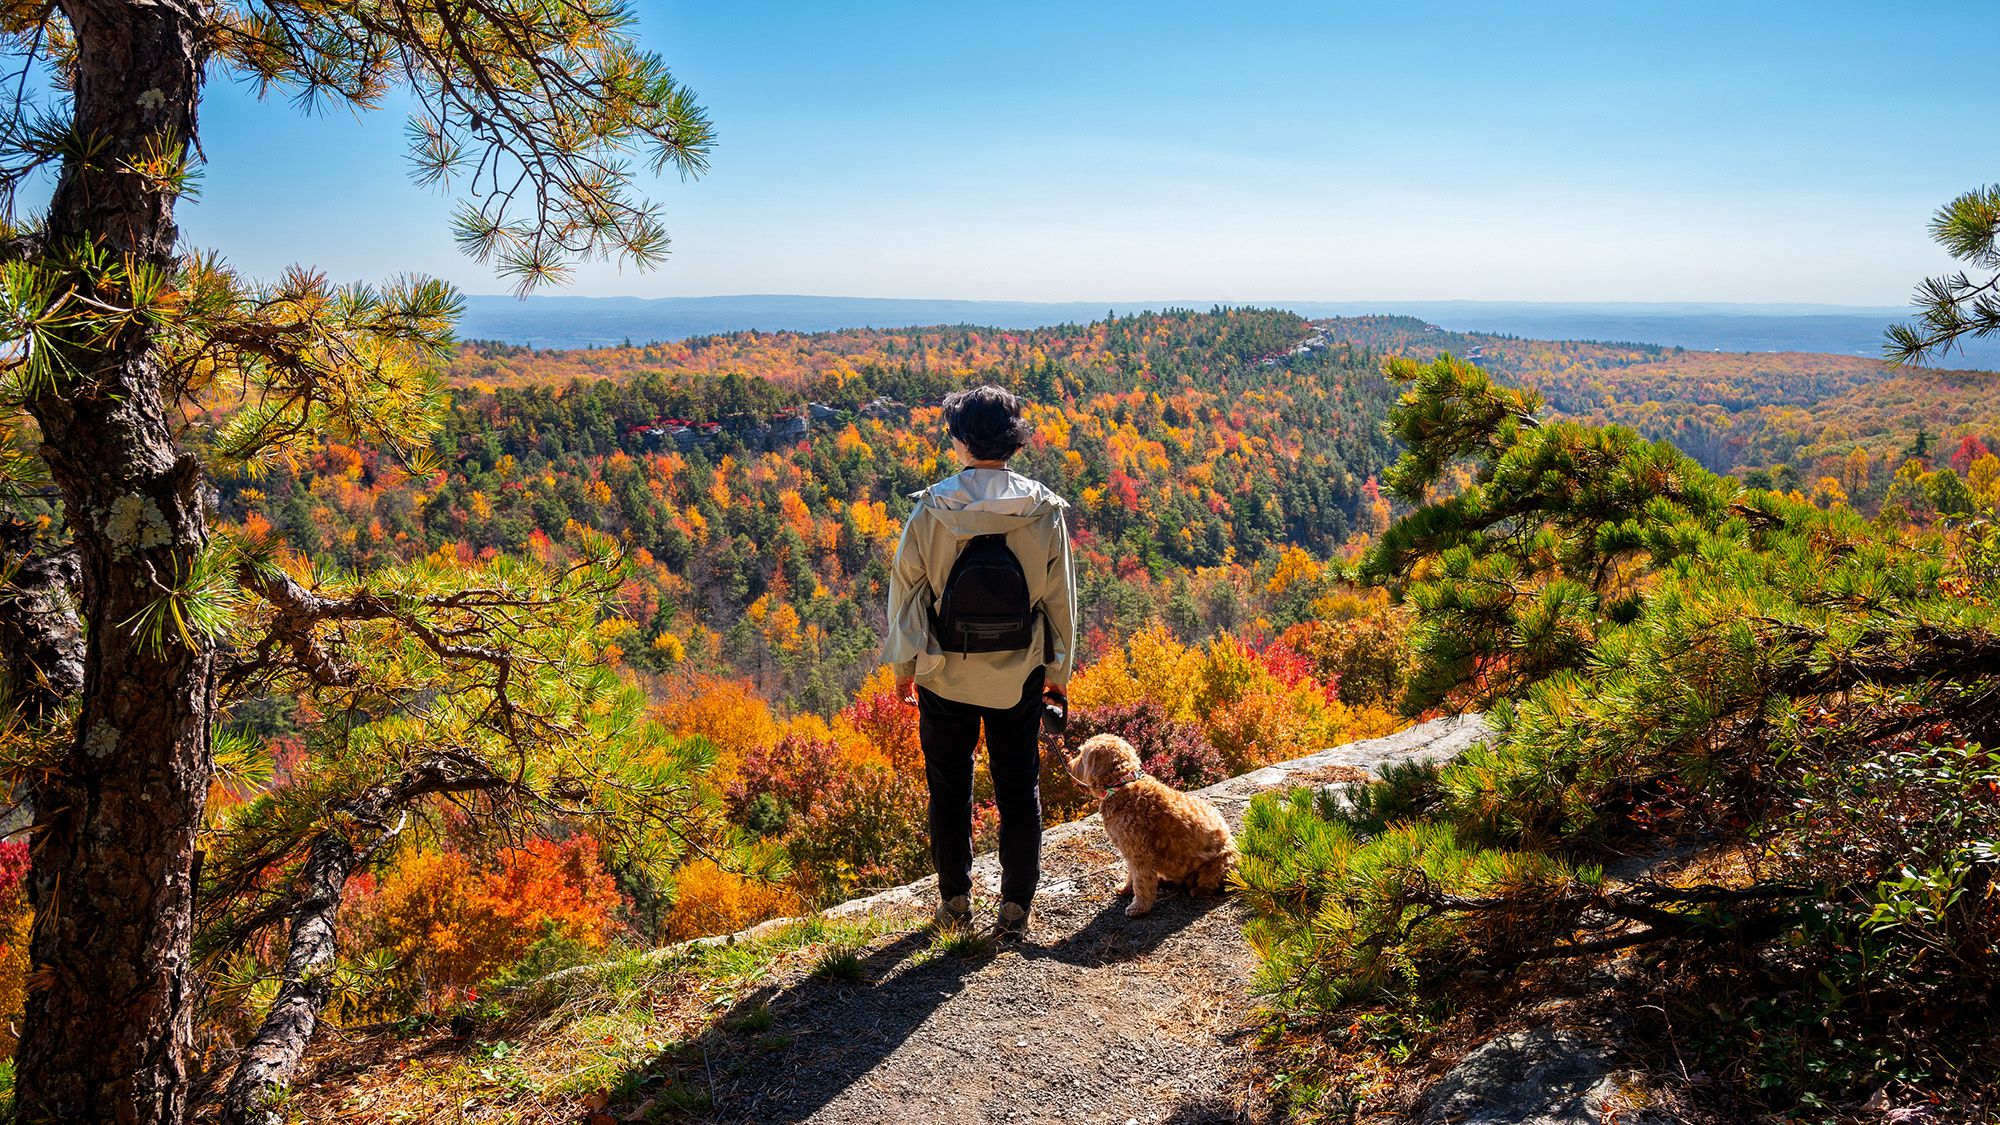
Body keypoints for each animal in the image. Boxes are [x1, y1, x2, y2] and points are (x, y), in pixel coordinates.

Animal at [1064, 736, 1232, 912]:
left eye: (1082, 756)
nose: (1069, 765)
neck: (1121, 786)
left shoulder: (1139, 852)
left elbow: (1141, 881)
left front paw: (1139, 907)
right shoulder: (1129, 850)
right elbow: (1132, 874)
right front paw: (1126, 888)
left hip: (1216, 866)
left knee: (1210, 885)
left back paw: (1198, 890)